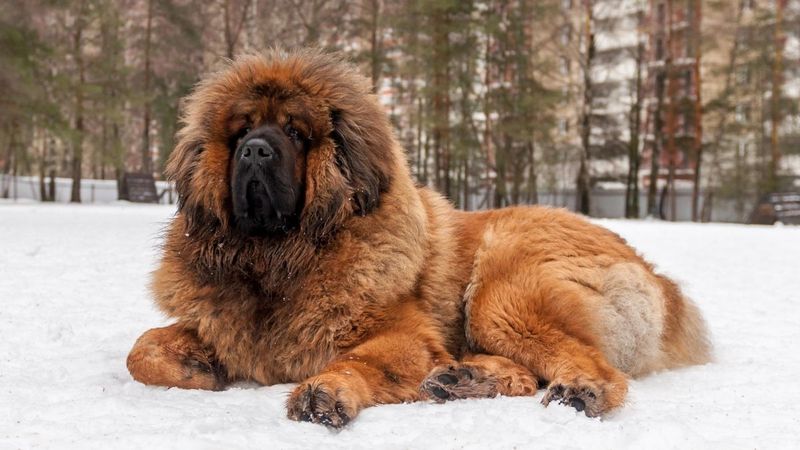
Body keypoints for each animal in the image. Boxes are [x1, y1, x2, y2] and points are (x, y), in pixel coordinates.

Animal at [128, 49, 708, 426]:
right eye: (242, 132)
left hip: (502, 294)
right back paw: (465, 379)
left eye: (294, 132)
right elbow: (141, 350)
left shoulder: (404, 336)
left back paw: (577, 390)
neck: (280, 260)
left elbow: (357, 360)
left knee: (593, 367)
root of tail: (659, 279)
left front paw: (325, 391)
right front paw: (197, 366)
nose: (254, 150)